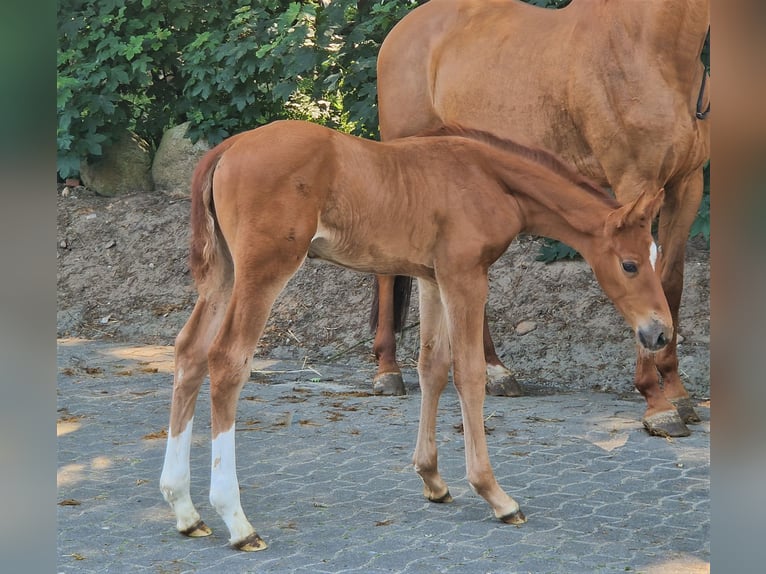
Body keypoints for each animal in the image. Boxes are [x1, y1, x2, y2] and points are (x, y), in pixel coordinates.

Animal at [160, 119, 672, 552]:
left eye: (654, 254)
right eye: (629, 264)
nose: (661, 332)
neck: (486, 176)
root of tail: (227, 149)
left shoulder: (431, 277)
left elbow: (432, 367)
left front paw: (433, 480)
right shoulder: (465, 276)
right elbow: (469, 374)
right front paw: (495, 495)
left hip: (224, 274)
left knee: (189, 352)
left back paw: (184, 509)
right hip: (264, 269)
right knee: (227, 359)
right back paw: (237, 522)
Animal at [372, 0, 708, 438]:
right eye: (628, 265)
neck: (650, 47)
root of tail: (401, 31)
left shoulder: (687, 186)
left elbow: (670, 283)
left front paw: (678, 395)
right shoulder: (635, 182)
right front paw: (656, 403)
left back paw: (496, 372)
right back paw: (387, 371)